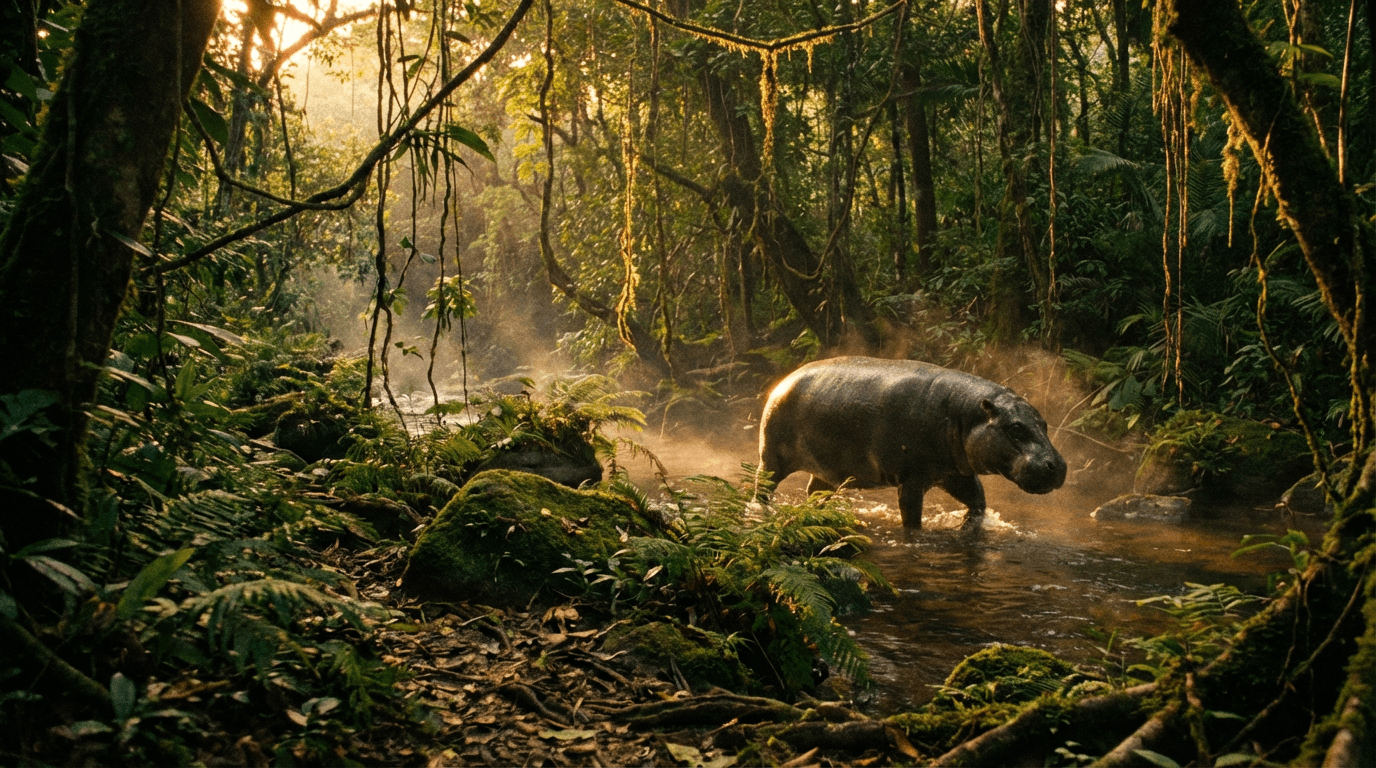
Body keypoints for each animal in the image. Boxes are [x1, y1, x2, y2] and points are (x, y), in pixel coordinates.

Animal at [757, 357, 1067, 528]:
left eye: (1044, 424)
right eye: (1016, 428)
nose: (1058, 465)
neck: (966, 413)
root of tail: (784, 379)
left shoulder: (955, 473)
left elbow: (978, 502)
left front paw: (968, 526)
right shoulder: (912, 480)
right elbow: (912, 520)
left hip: (825, 470)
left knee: (814, 490)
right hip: (771, 457)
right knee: (763, 486)